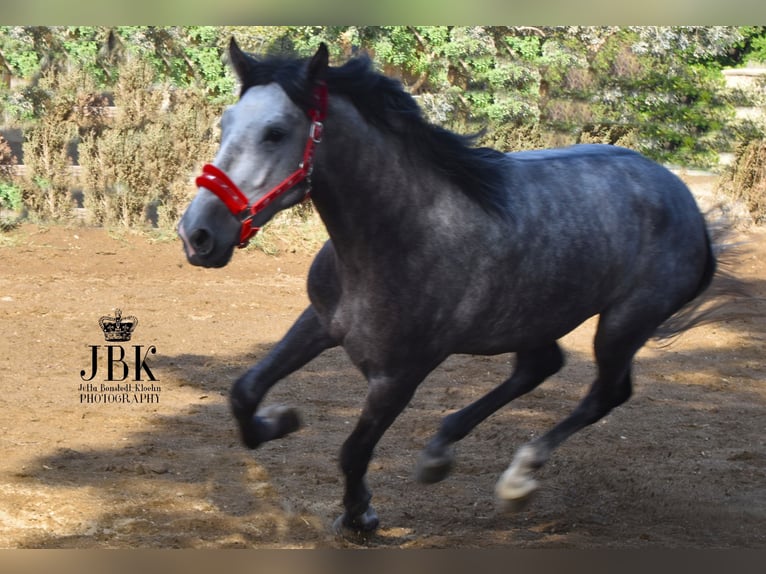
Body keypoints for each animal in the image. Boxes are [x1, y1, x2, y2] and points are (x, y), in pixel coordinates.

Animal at [178, 39, 728, 536]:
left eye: (275, 133)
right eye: (226, 123)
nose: (197, 235)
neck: (400, 233)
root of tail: (685, 201)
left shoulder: (400, 374)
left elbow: (353, 451)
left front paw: (360, 517)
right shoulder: (319, 323)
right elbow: (244, 392)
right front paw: (282, 421)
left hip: (623, 323)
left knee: (606, 392)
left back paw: (517, 479)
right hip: (534, 316)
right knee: (540, 367)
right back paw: (439, 452)